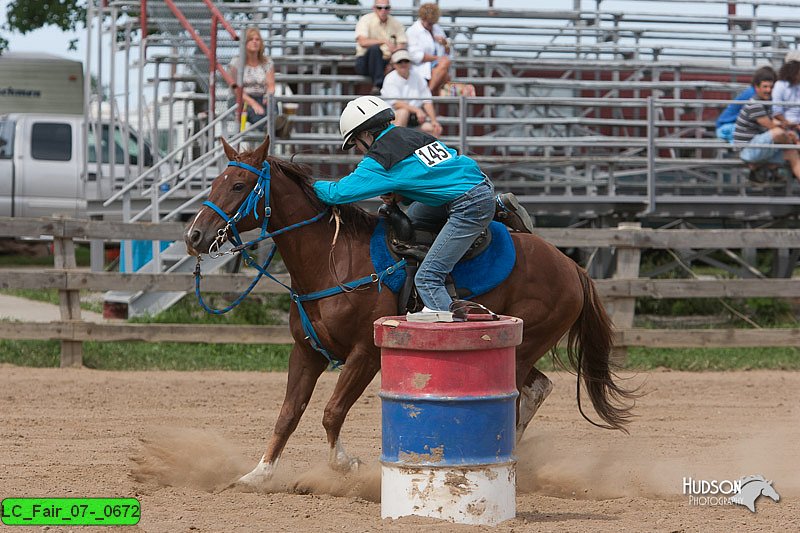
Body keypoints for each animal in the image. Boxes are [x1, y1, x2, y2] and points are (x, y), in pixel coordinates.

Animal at [183, 134, 636, 486]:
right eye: (215, 181)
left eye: (239, 185)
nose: (195, 235)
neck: (335, 259)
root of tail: (573, 267)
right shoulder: (306, 351)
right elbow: (288, 414)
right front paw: (258, 474)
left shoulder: (366, 355)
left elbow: (332, 412)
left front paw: (345, 464)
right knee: (538, 388)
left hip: (523, 346)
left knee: (520, 395)